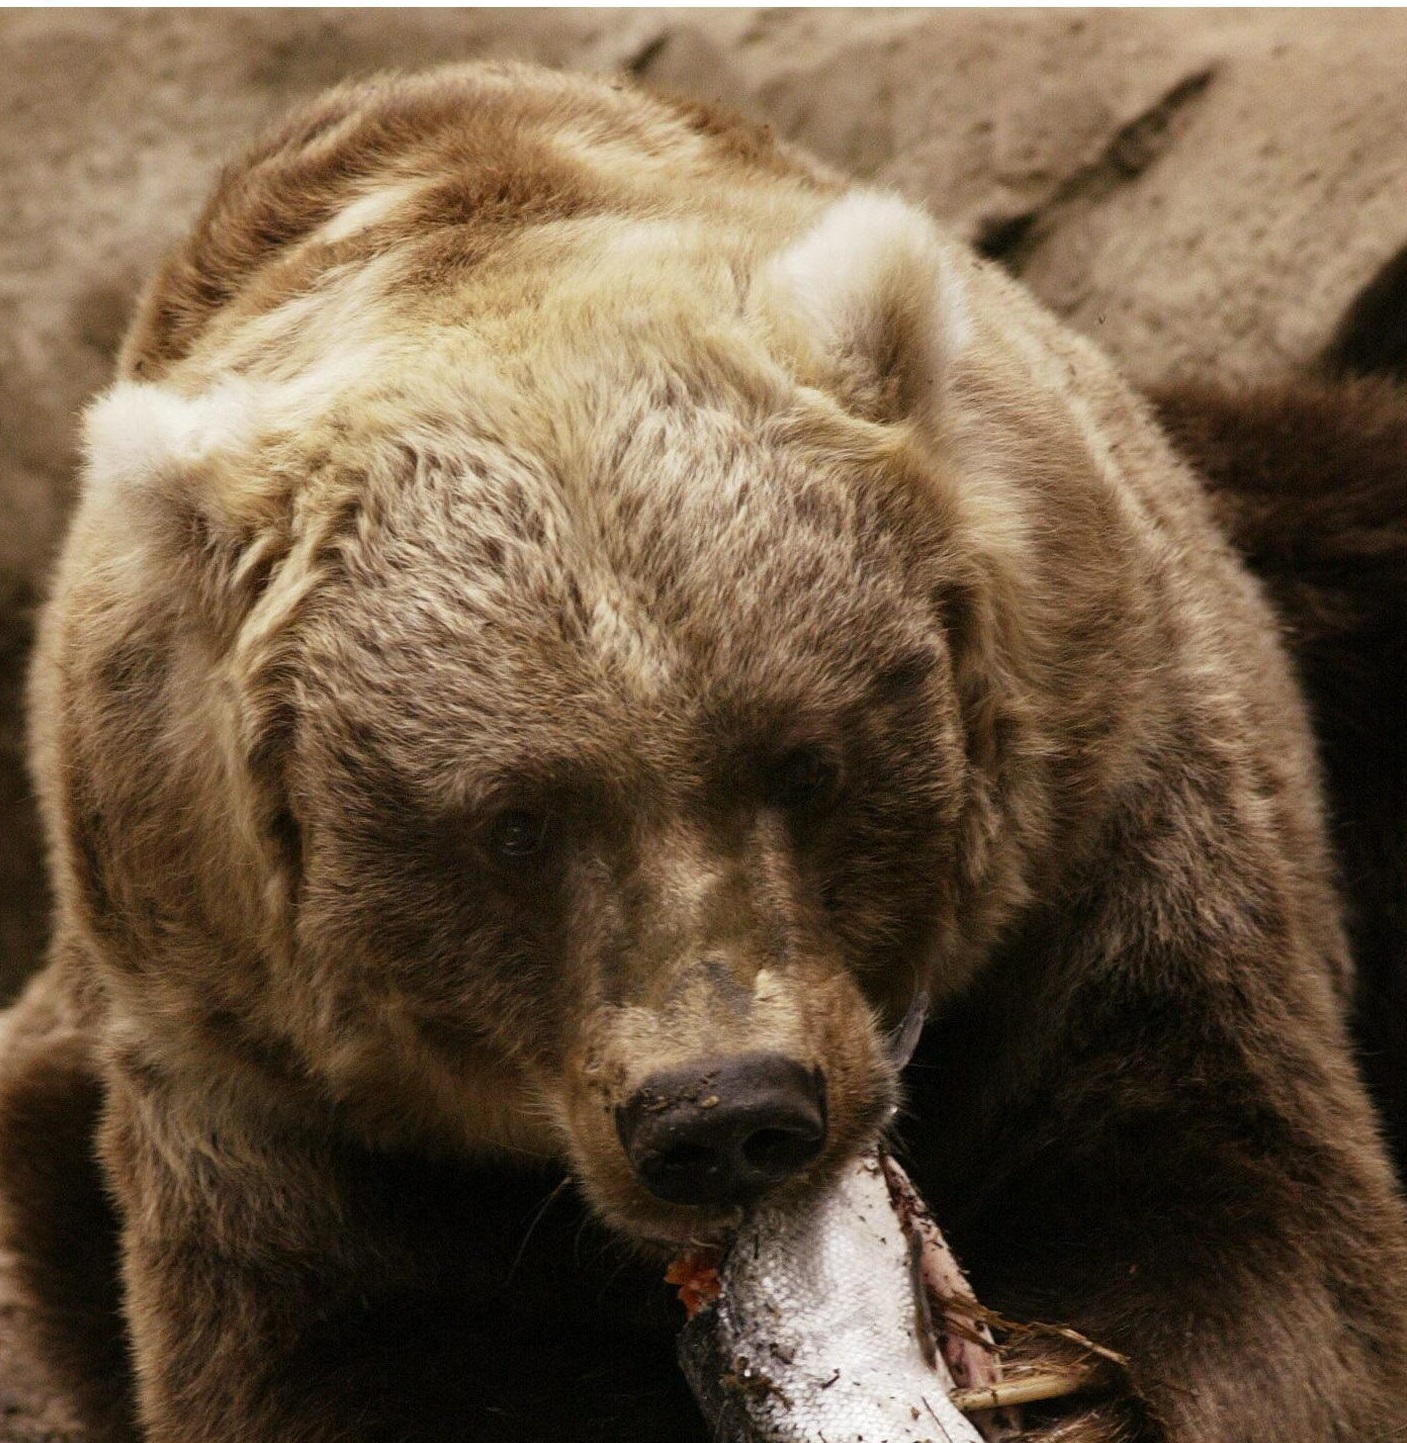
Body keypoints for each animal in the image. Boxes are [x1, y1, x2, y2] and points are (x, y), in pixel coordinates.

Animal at [2, 59, 1407, 1443]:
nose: (726, 1114)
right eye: (513, 825)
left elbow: (1222, 1208)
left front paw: (1077, 1383)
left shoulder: (1100, 834)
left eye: (806, 762)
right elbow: (350, 1347)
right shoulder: (268, 1068)